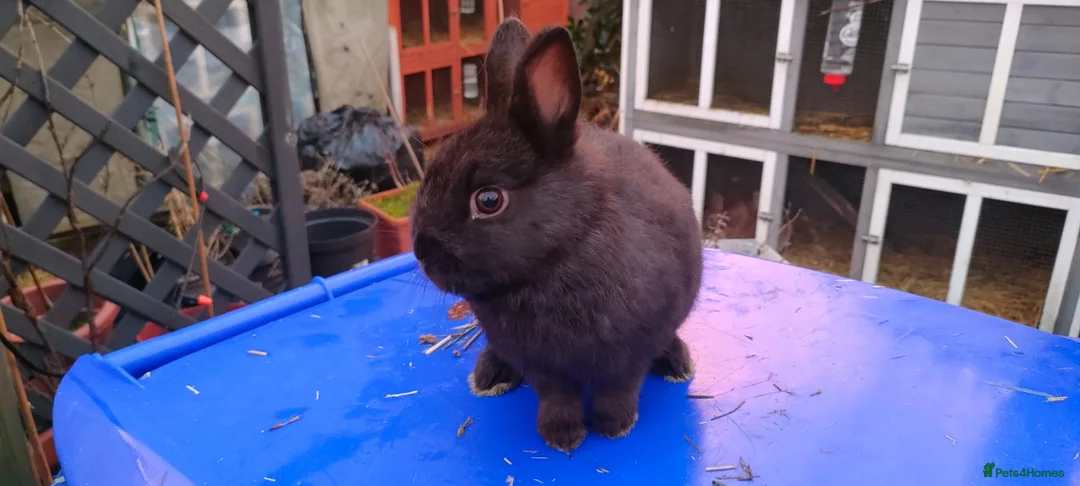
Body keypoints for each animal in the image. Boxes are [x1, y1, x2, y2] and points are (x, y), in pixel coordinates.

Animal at [410, 18, 703, 452]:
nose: (421, 253)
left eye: (489, 200)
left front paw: (614, 426)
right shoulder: (541, 365)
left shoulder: (629, 355)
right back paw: (490, 375)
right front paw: (562, 436)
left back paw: (677, 362)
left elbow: (619, 390)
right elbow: (557, 396)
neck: (561, 255)